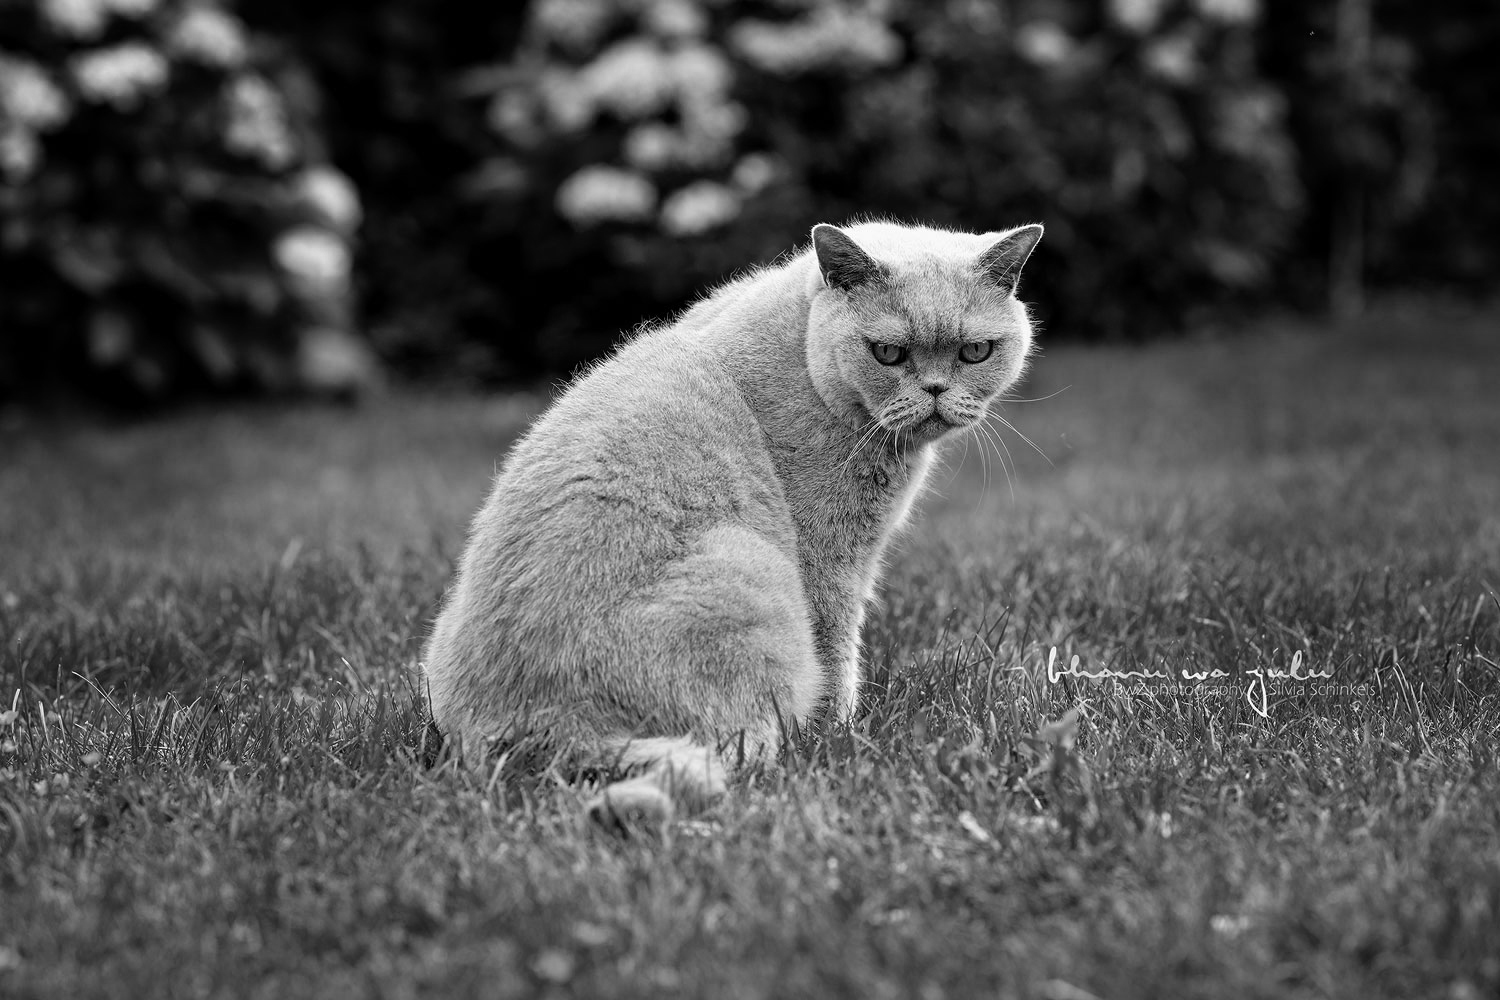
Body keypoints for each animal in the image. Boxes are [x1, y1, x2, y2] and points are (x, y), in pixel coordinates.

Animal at [417, 218, 1038, 827]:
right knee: (740, 749)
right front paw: (841, 735)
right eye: (886, 352)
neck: (800, 349)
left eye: (975, 351)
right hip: (750, 570)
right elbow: (838, 653)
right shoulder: (829, 563)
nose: (935, 390)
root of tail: (541, 727)